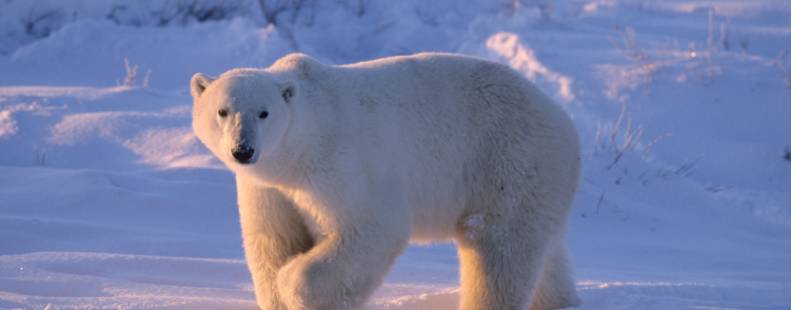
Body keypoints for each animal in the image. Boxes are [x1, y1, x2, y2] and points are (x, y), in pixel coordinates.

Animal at [192, 53, 580, 310]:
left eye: (264, 112)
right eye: (222, 111)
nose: (243, 150)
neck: (299, 149)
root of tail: (563, 120)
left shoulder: (340, 166)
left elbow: (371, 229)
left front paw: (294, 285)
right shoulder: (269, 188)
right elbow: (272, 241)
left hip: (508, 160)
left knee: (497, 251)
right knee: (543, 251)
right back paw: (561, 301)